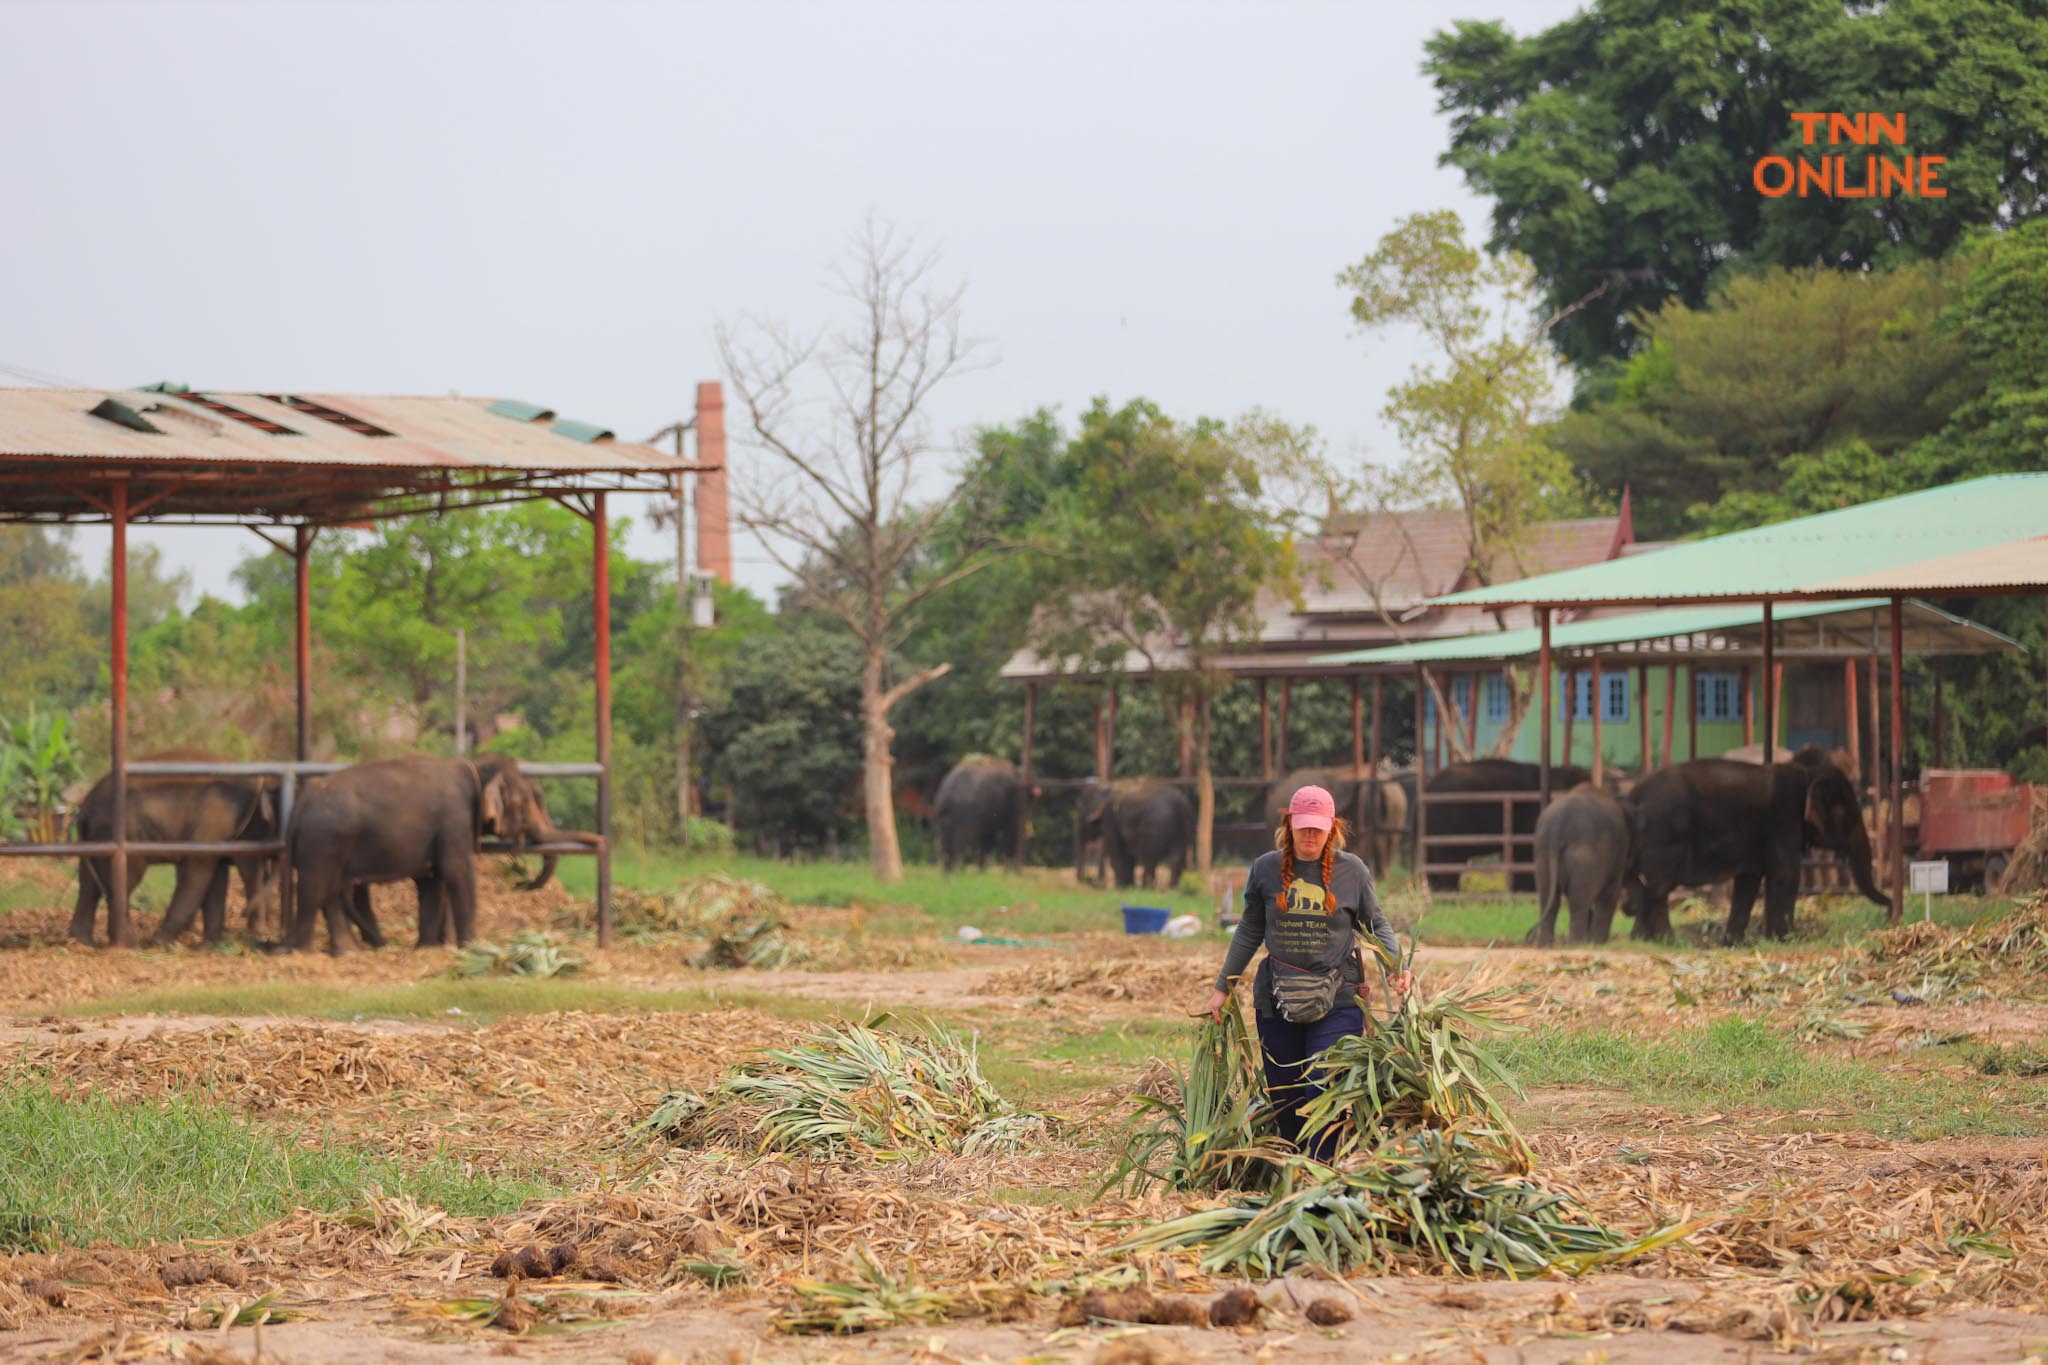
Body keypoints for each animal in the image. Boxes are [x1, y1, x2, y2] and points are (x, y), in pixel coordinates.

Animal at [69, 749, 280, 949]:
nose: (243, 913)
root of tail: (85, 808)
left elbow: (216, 877)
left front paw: (209, 945)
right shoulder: (222, 825)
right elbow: (203, 872)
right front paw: (159, 942)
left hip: (96, 839)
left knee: (89, 885)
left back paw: (81, 942)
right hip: (120, 833)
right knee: (122, 882)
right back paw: (130, 945)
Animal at [276, 753, 593, 957]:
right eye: (527, 801)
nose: (520, 881)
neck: (475, 765)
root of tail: (299, 806)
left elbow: (431, 880)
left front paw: (428, 948)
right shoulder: (455, 820)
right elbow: (457, 871)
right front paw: (474, 947)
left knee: (330, 893)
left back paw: (347, 952)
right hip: (323, 842)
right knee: (316, 889)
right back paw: (305, 952)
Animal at [1417, 757, 1589, 896]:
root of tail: (1428, 787)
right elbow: (1525, 853)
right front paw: (1526, 891)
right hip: (1446, 826)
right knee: (1447, 861)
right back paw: (1450, 894)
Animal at [1523, 785, 1630, 945]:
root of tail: (1557, 826)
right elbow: (1610, 893)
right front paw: (1597, 943)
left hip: (1542, 852)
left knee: (1548, 896)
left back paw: (1545, 944)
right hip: (1584, 857)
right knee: (1579, 900)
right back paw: (1575, 943)